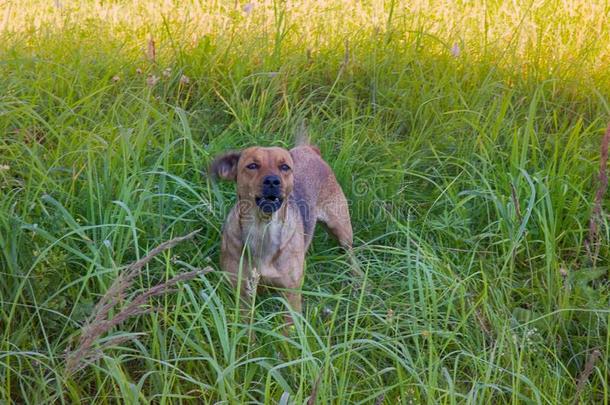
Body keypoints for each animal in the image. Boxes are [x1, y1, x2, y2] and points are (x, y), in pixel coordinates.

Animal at [210, 142, 350, 326]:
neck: (263, 229)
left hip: (341, 227)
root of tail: (307, 148)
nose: (272, 181)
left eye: (285, 167)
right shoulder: (244, 293)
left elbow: (289, 327)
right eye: (252, 166)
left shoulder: (291, 294)